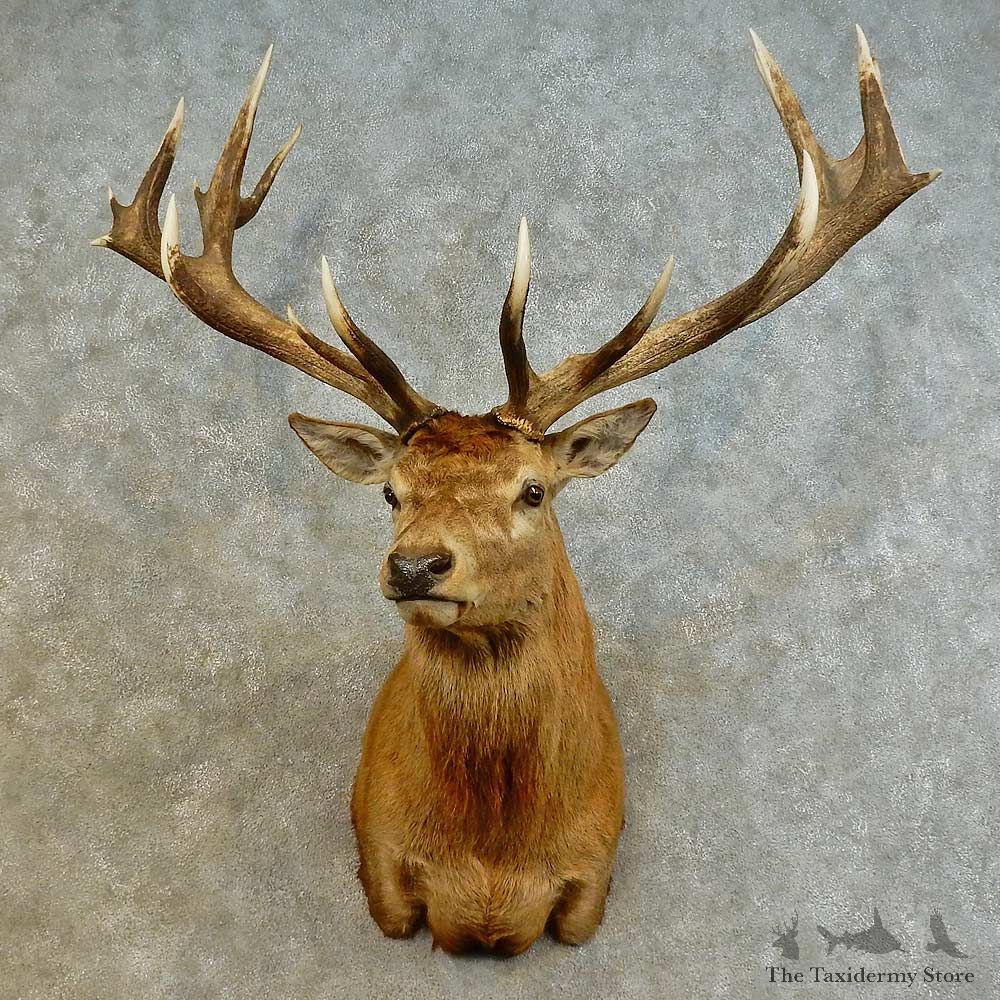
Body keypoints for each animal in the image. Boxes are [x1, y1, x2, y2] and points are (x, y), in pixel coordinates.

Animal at [91, 28, 938, 955]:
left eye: (533, 490)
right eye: (390, 492)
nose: (416, 566)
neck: (492, 865)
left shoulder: (592, 878)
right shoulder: (382, 869)